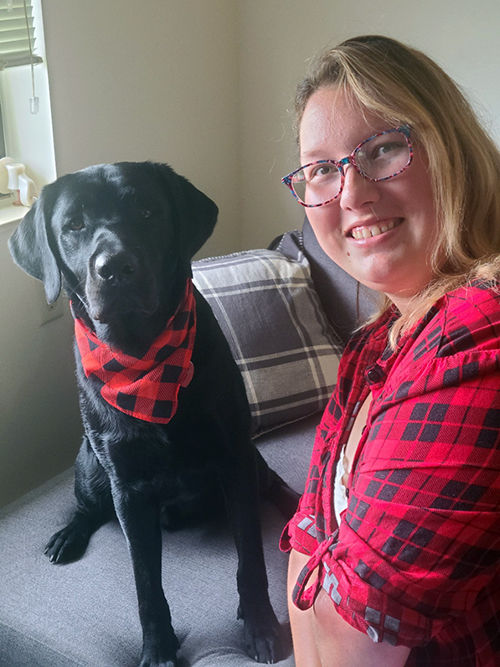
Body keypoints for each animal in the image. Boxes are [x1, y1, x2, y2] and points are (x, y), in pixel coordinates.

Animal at [8, 163, 296, 667]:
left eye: (146, 211)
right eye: (73, 226)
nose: (115, 268)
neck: (143, 357)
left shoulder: (234, 460)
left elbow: (251, 561)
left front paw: (261, 625)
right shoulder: (127, 487)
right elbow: (145, 582)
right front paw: (158, 647)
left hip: (250, 462)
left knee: (272, 482)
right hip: (89, 465)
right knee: (89, 507)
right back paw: (67, 534)